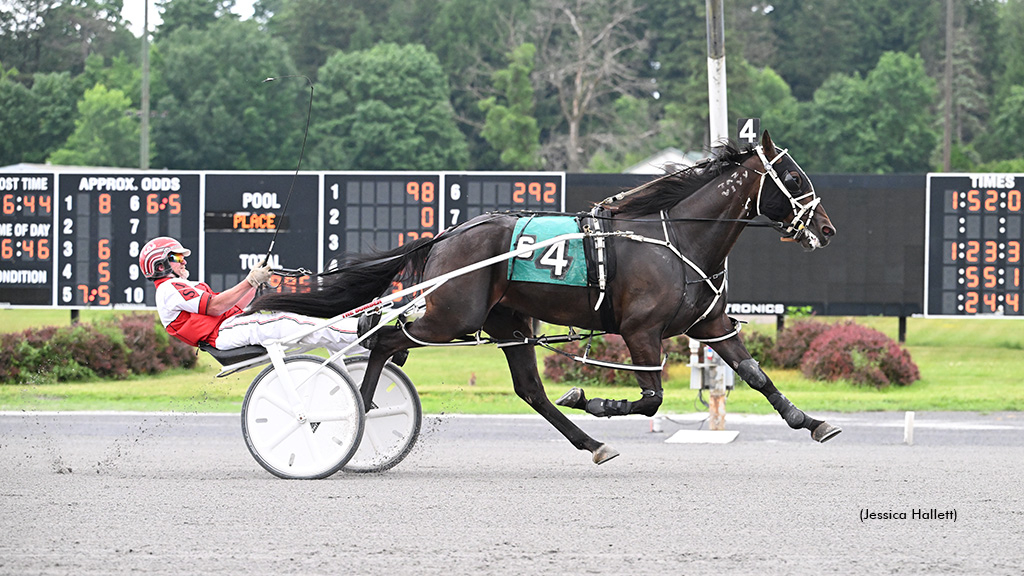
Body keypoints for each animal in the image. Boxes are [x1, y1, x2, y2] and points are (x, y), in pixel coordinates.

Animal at [249, 131, 839, 461]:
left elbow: (757, 375)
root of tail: (444, 237)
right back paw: (357, 407)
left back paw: (592, 445)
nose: (827, 229)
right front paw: (591, 398)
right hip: (450, 316)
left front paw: (812, 423)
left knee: (528, 389)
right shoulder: (641, 331)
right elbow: (651, 397)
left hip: (507, 323)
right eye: (791, 177)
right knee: (384, 337)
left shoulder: (709, 324)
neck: (679, 242)